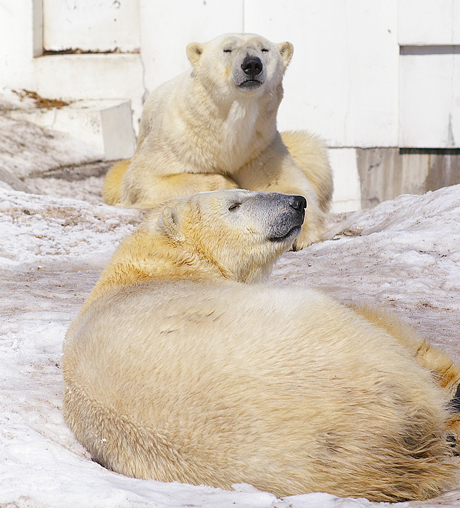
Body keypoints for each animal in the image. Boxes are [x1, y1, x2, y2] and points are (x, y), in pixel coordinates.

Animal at [102, 32, 332, 250]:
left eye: (264, 49)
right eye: (227, 49)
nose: (252, 64)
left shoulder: (259, 148)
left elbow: (283, 182)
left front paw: (298, 233)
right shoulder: (177, 140)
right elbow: (144, 180)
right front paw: (230, 184)